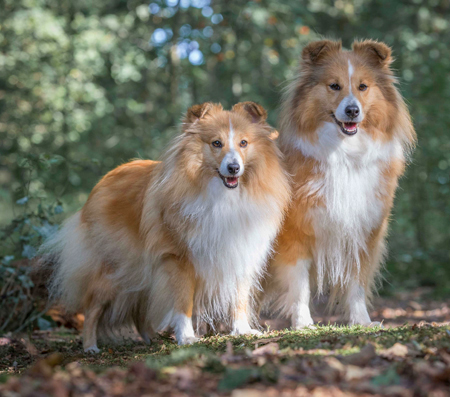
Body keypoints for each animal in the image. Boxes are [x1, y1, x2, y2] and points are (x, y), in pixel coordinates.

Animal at [41, 101, 288, 350]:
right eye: (216, 143)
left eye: (243, 143)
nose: (234, 168)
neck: (223, 197)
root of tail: (103, 181)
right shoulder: (179, 259)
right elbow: (183, 302)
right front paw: (186, 337)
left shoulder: (241, 253)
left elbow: (239, 298)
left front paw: (243, 331)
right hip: (115, 269)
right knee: (92, 308)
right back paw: (90, 346)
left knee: (139, 309)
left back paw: (152, 338)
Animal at [266, 39, 416, 328]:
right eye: (334, 85)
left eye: (363, 86)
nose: (352, 111)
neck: (345, 154)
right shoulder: (294, 234)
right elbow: (299, 285)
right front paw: (303, 323)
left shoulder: (362, 233)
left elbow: (356, 285)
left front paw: (363, 321)